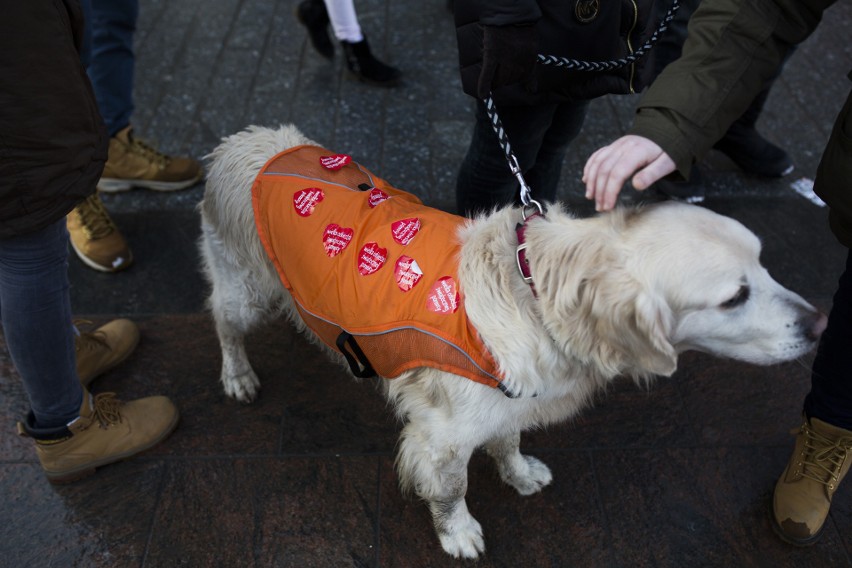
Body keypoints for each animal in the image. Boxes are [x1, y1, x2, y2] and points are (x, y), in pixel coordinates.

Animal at [198, 125, 824, 560]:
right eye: (734, 296)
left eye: (764, 263)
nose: (819, 324)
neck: (534, 295)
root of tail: (239, 143)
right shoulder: (442, 433)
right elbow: (451, 487)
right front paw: (458, 533)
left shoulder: (510, 397)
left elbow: (508, 439)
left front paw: (519, 473)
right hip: (244, 289)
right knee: (223, 321)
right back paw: (237, 376)